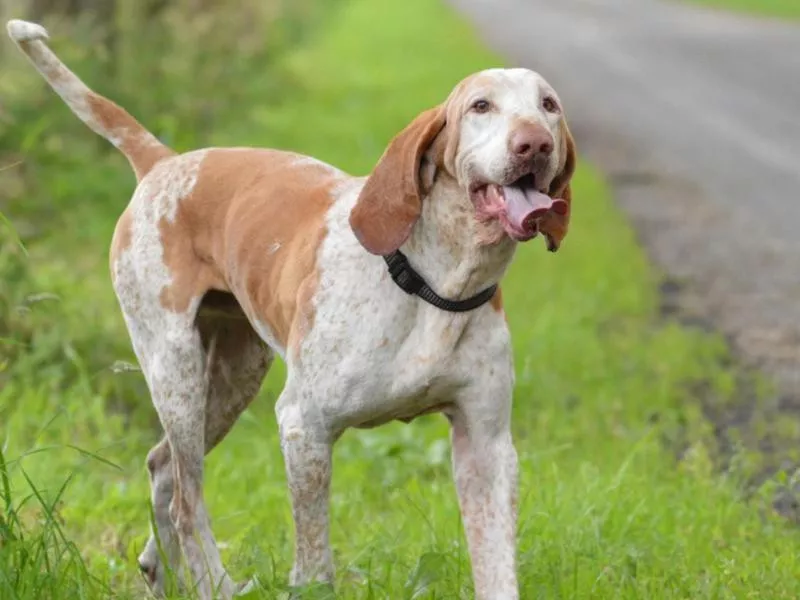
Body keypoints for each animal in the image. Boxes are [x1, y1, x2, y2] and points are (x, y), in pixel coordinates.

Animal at [10, 17, 576, 600]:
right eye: (481, 106)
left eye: (549, 105)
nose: (534, 143)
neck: (434, 283)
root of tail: (165, 162)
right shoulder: (305, 426)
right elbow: (315, 563)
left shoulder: (486, 445)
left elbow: (497, 567)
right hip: (176, 371)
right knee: (187, 501)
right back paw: (215, 583)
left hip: (233, 378)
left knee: (163, 466)